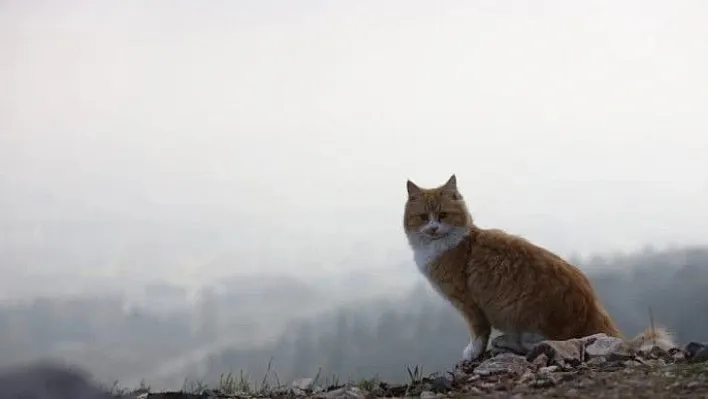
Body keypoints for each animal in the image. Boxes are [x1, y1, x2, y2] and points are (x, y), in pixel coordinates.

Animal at [404, 175, 676, 362]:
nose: (433, 228)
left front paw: (473, 352)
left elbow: (479, 333)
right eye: (423, 218)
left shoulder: (469, 304)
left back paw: (507, 341)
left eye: (443, 215)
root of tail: (591, 305)